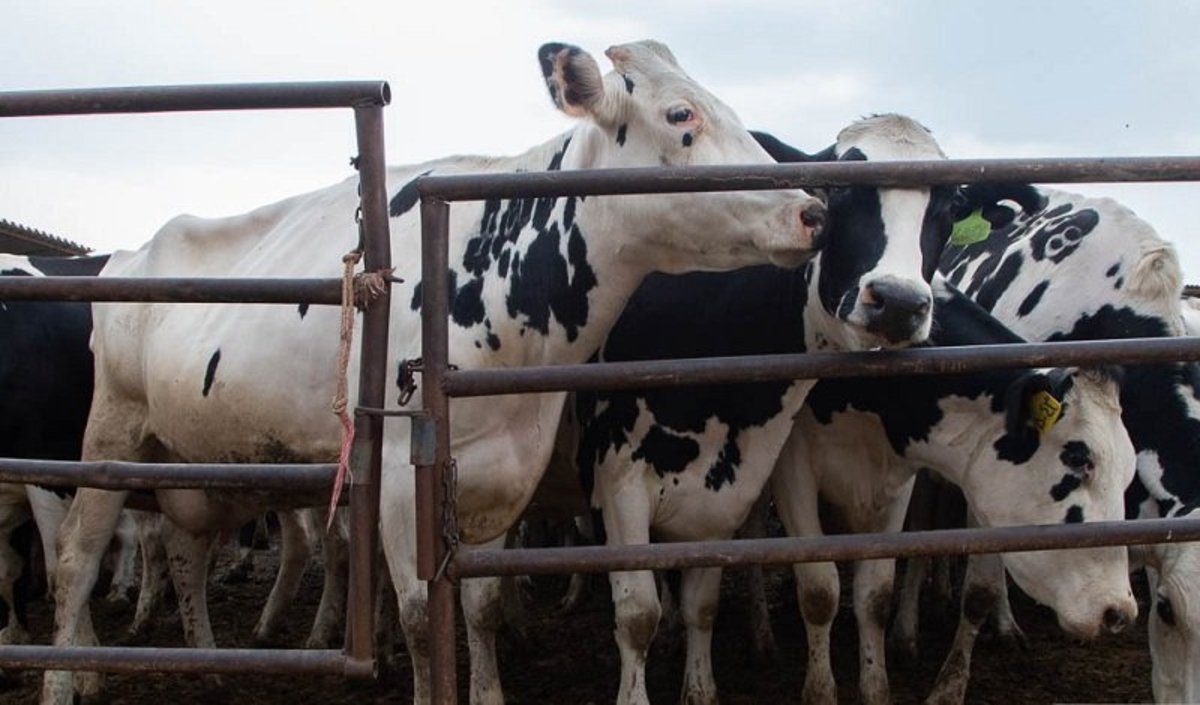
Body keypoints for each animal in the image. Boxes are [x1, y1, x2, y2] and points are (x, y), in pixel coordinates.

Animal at [42, 39, 830, 705]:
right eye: (681, 114)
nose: (813, 210)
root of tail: (130, 253)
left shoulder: (492, 475)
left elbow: (479, 605)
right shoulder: (397, 473)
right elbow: (424, 615)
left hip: (190, 459)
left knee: (182, 548)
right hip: (112, 428)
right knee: (76, 559)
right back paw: (65, 678)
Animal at [559, 115, 984, 705]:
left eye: (950, 207)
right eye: (836, 191)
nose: (898, 302)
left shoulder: (727, 487)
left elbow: (705, 604)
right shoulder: (616, 478)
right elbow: (638, 614)